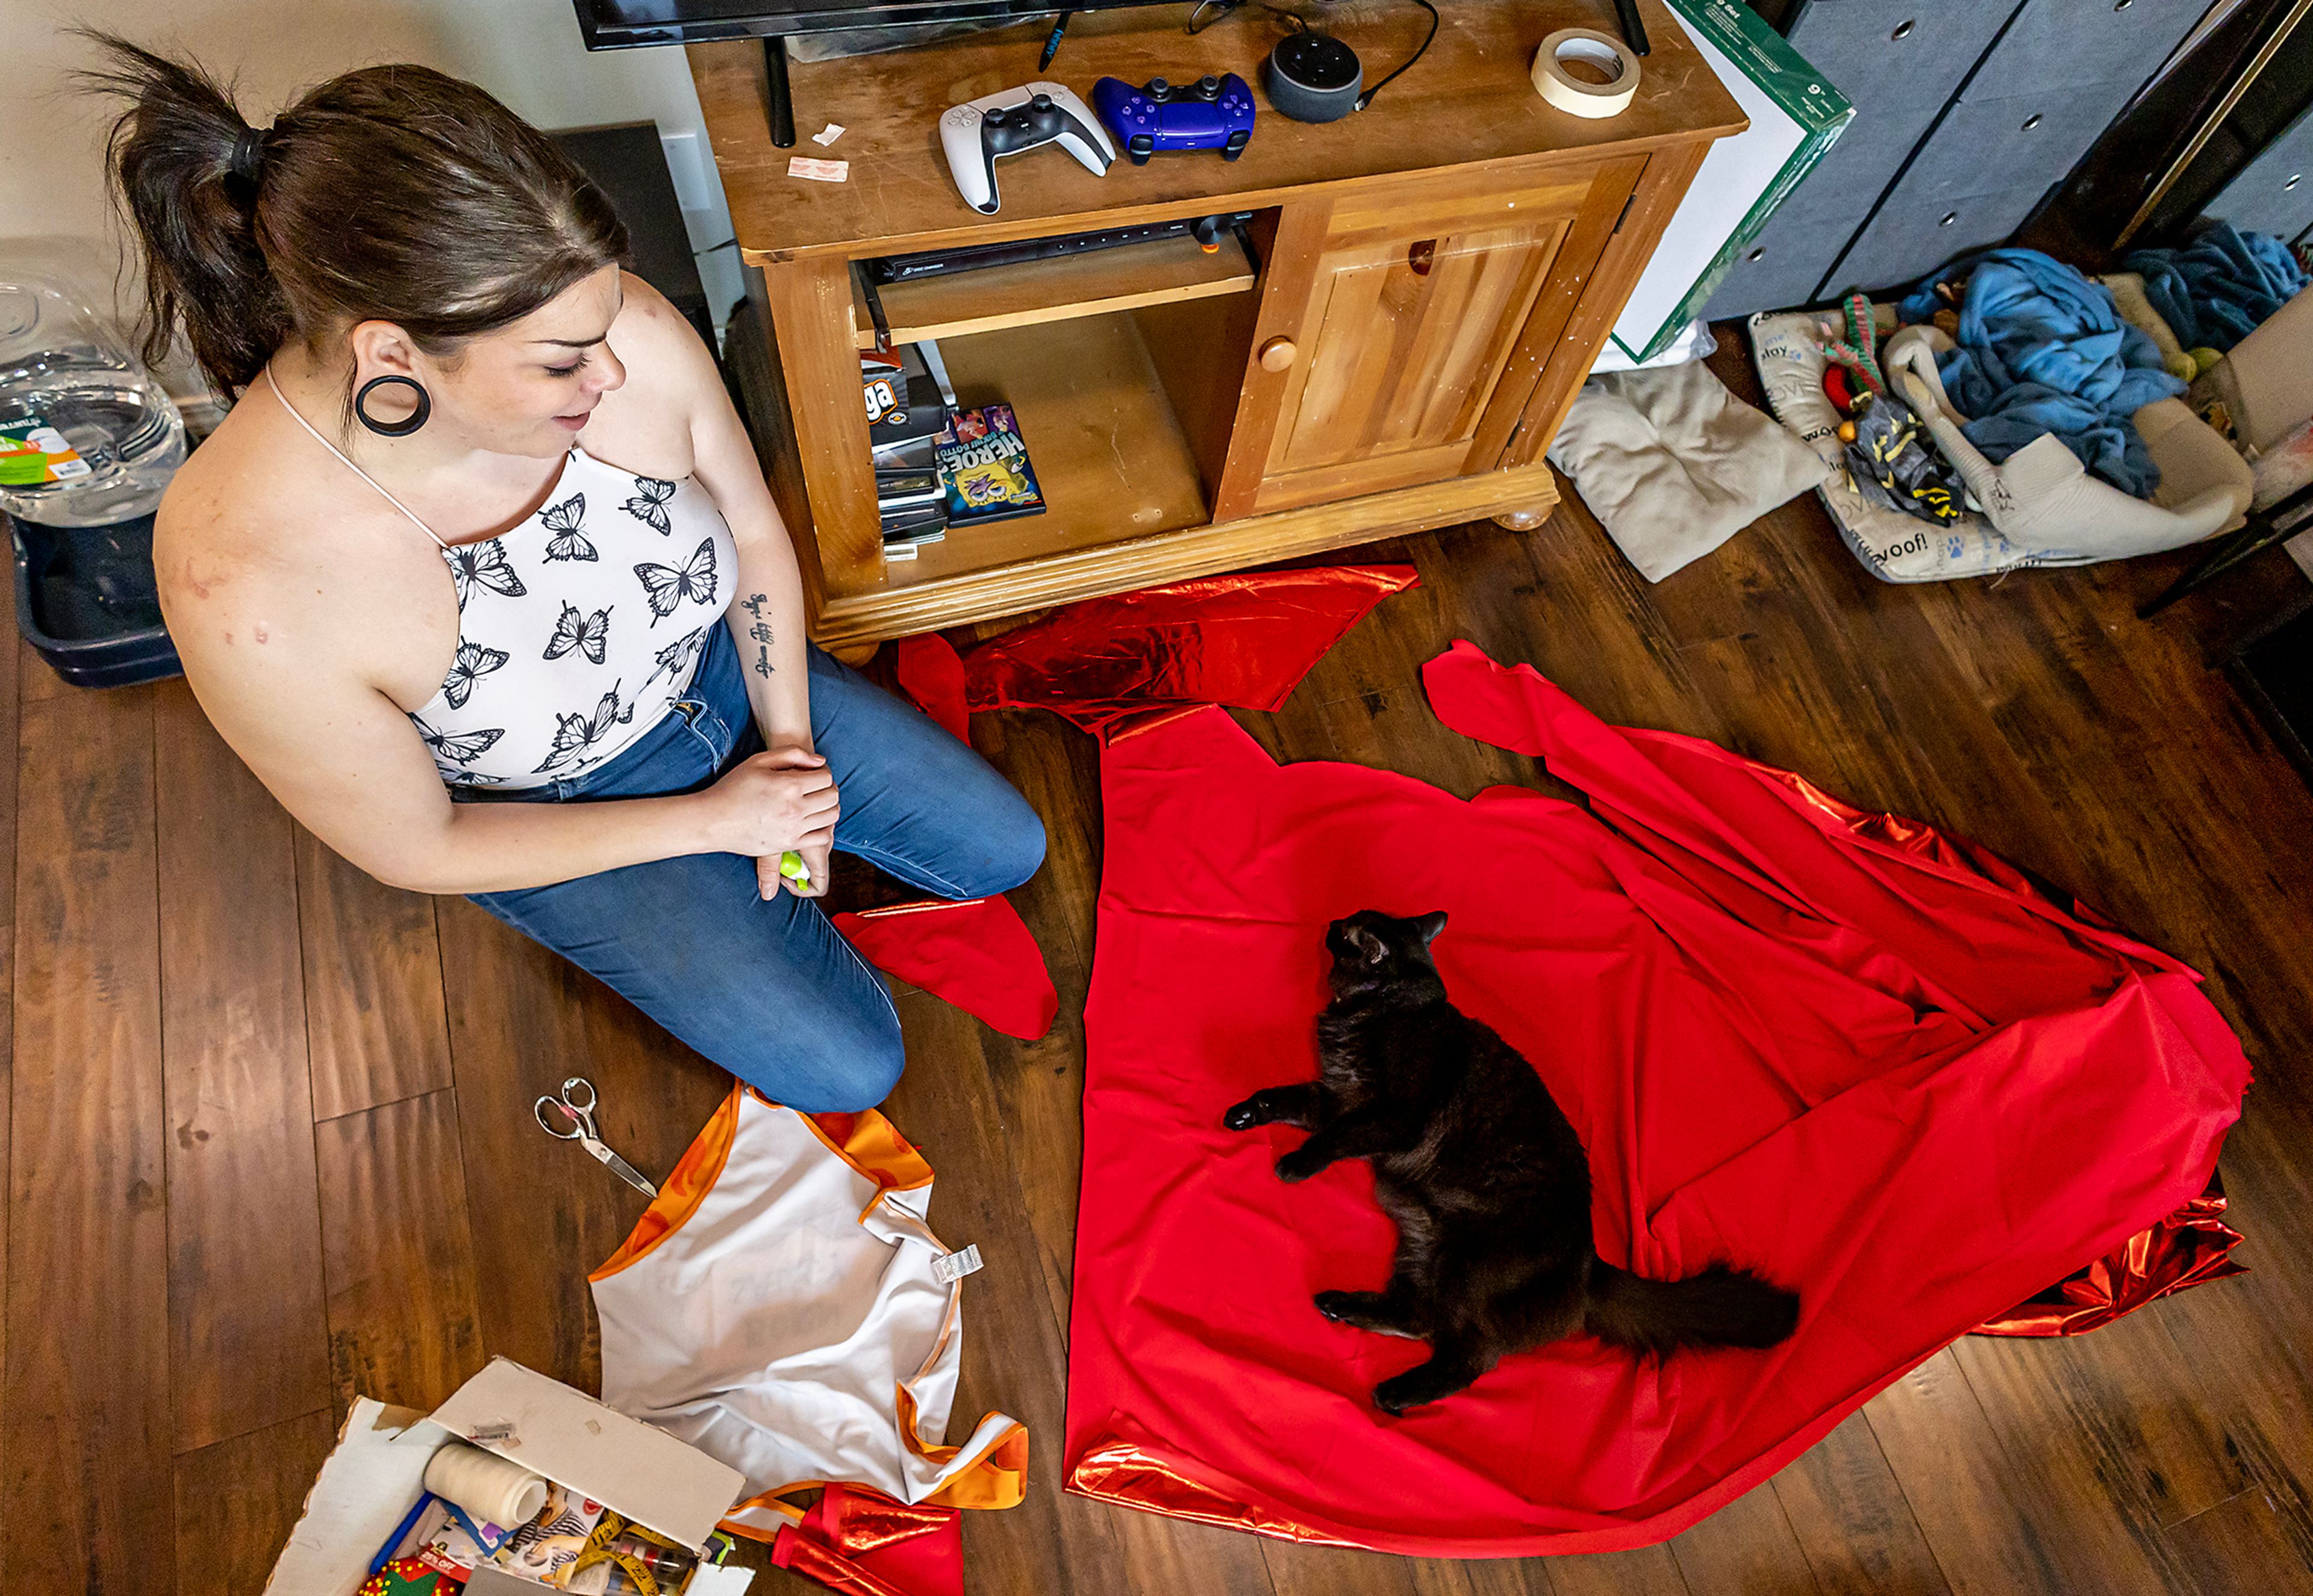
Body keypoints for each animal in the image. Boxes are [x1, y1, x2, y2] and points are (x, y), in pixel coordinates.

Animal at [1221, 902, 1794, 1415]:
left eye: (1349, 933)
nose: (1334, 921)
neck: (1391, 1005)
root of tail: (1589, 1265)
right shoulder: (1337, 1097)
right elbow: (1284, 1097)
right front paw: (1245, 1114)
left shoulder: (1389, 1116)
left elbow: (1334, 1139)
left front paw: (1296, 1166)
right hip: (1424, 1243)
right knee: (1417, 1316)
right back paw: (1340, 1306)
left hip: (1466, 1260)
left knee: (1468, 1356)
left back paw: (1396, 1393)